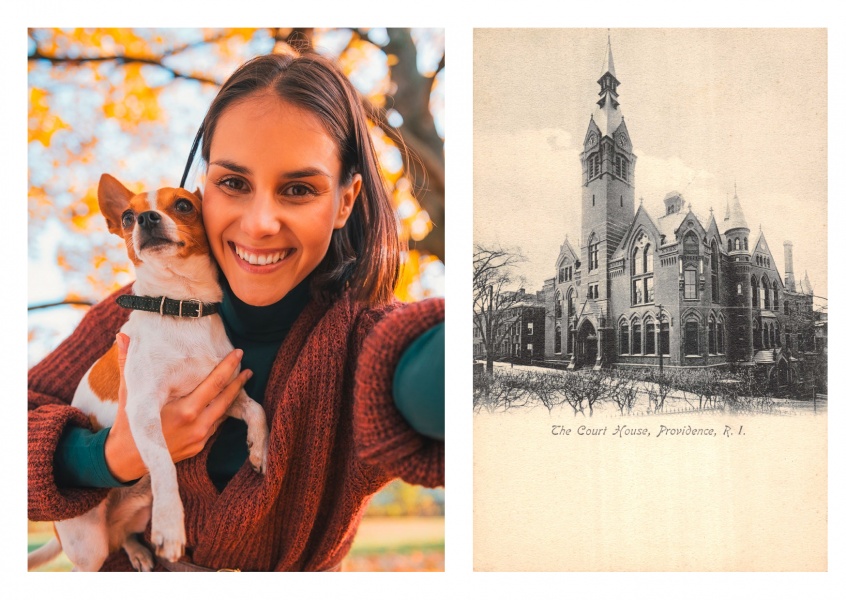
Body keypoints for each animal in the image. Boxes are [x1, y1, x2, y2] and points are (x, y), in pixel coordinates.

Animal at [29, 173, 268, 572]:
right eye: (127, 216)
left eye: (184, 205)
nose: (145, 218)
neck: (181, 306)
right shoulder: (143, 412)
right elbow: (164, 465)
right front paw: (171, 528)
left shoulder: (224, 394)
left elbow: (257, 409)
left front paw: (260, 449)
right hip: (89, 546)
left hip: (137, 511)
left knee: (124, 534)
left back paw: (139, 551)